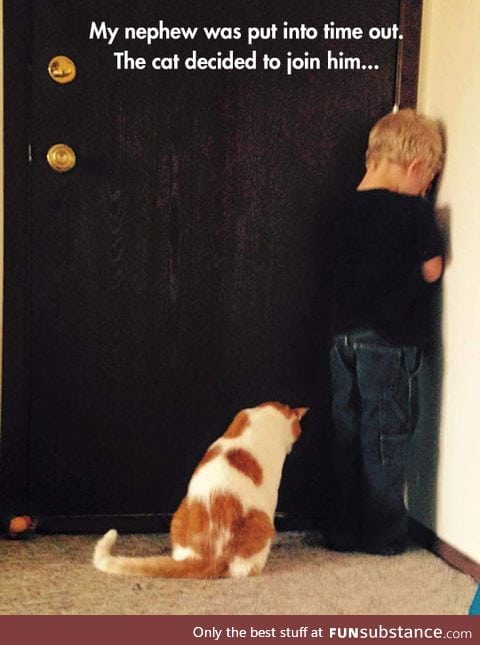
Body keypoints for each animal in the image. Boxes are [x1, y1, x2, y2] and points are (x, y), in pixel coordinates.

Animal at [93, 402, 308, 580]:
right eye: (298, 429)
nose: (293, 443)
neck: (264, 417)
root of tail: (205, 557)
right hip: (262, 522)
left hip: (179, 515)